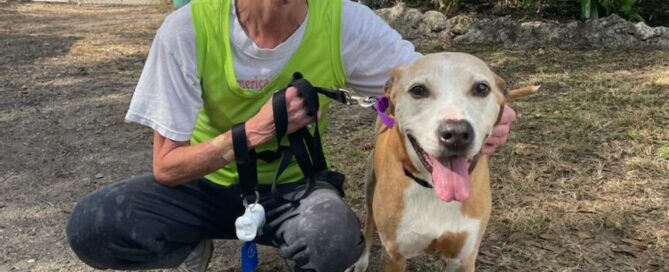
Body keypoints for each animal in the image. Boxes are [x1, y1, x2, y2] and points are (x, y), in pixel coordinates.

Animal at [348, 52, 536, 270]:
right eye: (418, 90)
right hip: (370, 184)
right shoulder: (394, 257)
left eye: (481, 88)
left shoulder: (464, 258)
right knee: (369, 222)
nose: (456, 133)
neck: (431, 188)